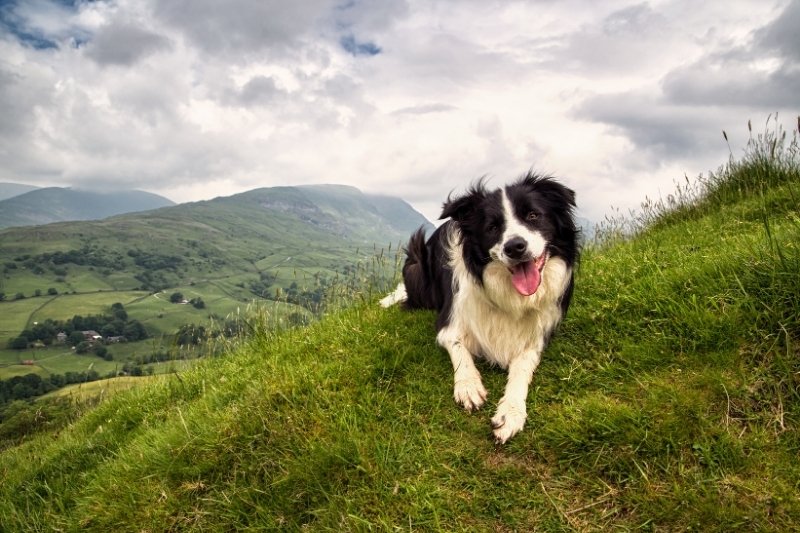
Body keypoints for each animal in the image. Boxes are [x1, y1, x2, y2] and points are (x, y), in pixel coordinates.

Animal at [378, 170, 580, 440]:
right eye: (492, 227)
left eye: (533, 215)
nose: (515, 247)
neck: (508, 294)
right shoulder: (450, 322)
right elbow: (459, 349)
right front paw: (468, 385)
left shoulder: (538, 334)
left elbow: (522, 368)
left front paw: (511, 412)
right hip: (416, 265)